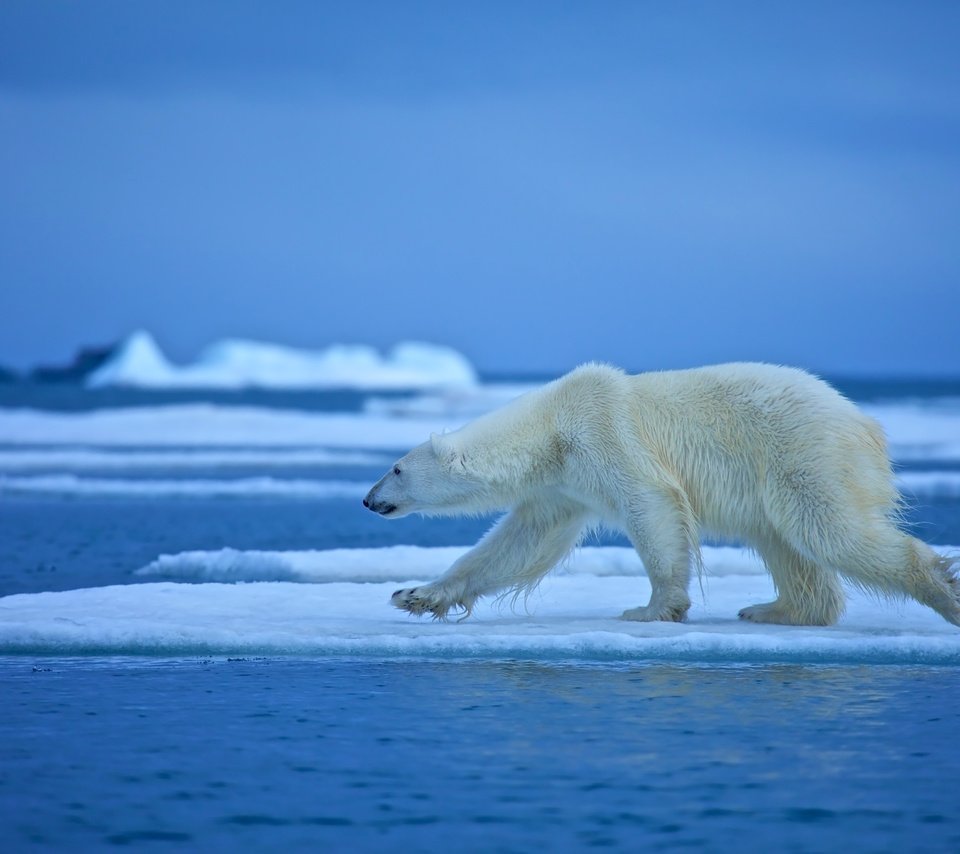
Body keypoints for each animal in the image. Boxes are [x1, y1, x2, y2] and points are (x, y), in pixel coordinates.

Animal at [362, 362, 960, 628]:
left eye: (395, 468)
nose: (368, 500)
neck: (551, 427)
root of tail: (866, 424)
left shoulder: (603, 433)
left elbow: (650, 505)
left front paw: (652, 608)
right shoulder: (563, 483)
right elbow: (519, 543)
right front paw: (415, 595)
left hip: (804, 455)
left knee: (830, 530)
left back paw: (942, 591)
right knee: (786, 544)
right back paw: (773, 609)